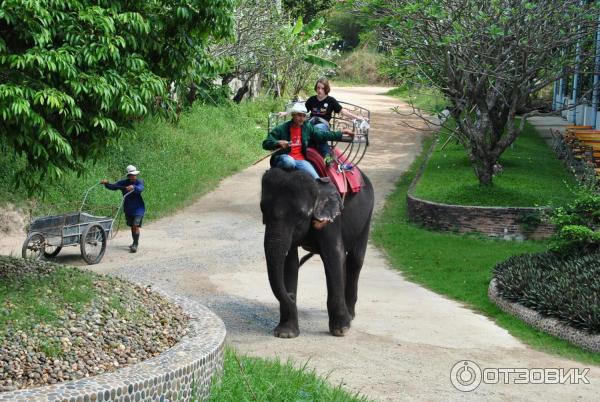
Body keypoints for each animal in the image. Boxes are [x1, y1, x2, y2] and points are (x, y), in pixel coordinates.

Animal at [258, 167, 372, 340]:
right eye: (262, 209)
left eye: (300, 214)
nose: (291, 296)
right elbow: (290, 262)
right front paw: (286, 333)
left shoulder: (331, 220)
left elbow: (333, 255)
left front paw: (341, 330)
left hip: (367, 216)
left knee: (355, 259)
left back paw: (350, 315)